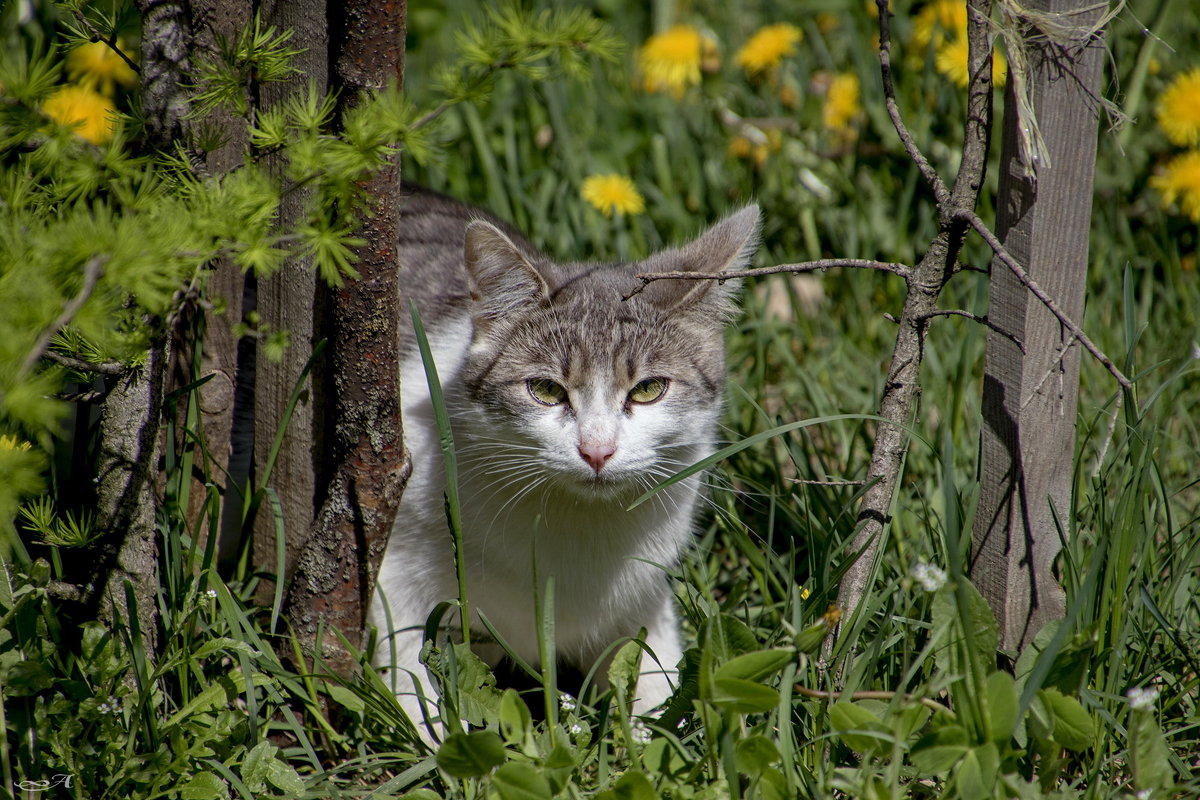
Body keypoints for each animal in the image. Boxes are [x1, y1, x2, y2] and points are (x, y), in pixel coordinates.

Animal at [367, 188, 758, 738]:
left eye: (649, 389)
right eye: (546, 390)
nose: (597, 450)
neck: (573, 527)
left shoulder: (643, 598)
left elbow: (657, 683)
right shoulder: (398, 571)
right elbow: (413, 671)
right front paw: (436, 739)